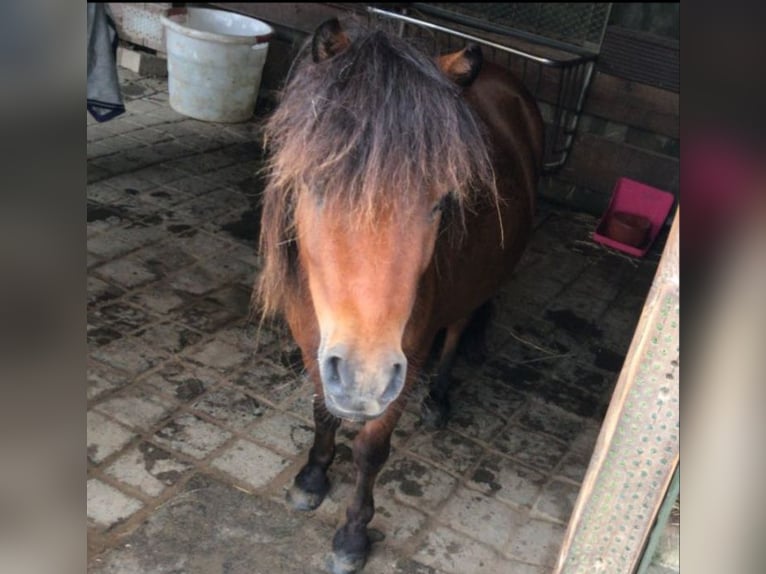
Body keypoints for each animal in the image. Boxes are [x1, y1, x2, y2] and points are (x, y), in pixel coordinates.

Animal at [258, 18, 544, 574]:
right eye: (316, 182)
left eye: (440, 202)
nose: (365, 378)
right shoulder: (313, 343)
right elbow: (322, 410)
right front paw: (311, 479)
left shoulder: (403, 359)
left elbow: (371, 450)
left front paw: (352, 537)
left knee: (458, 329)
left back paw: (438, 400)